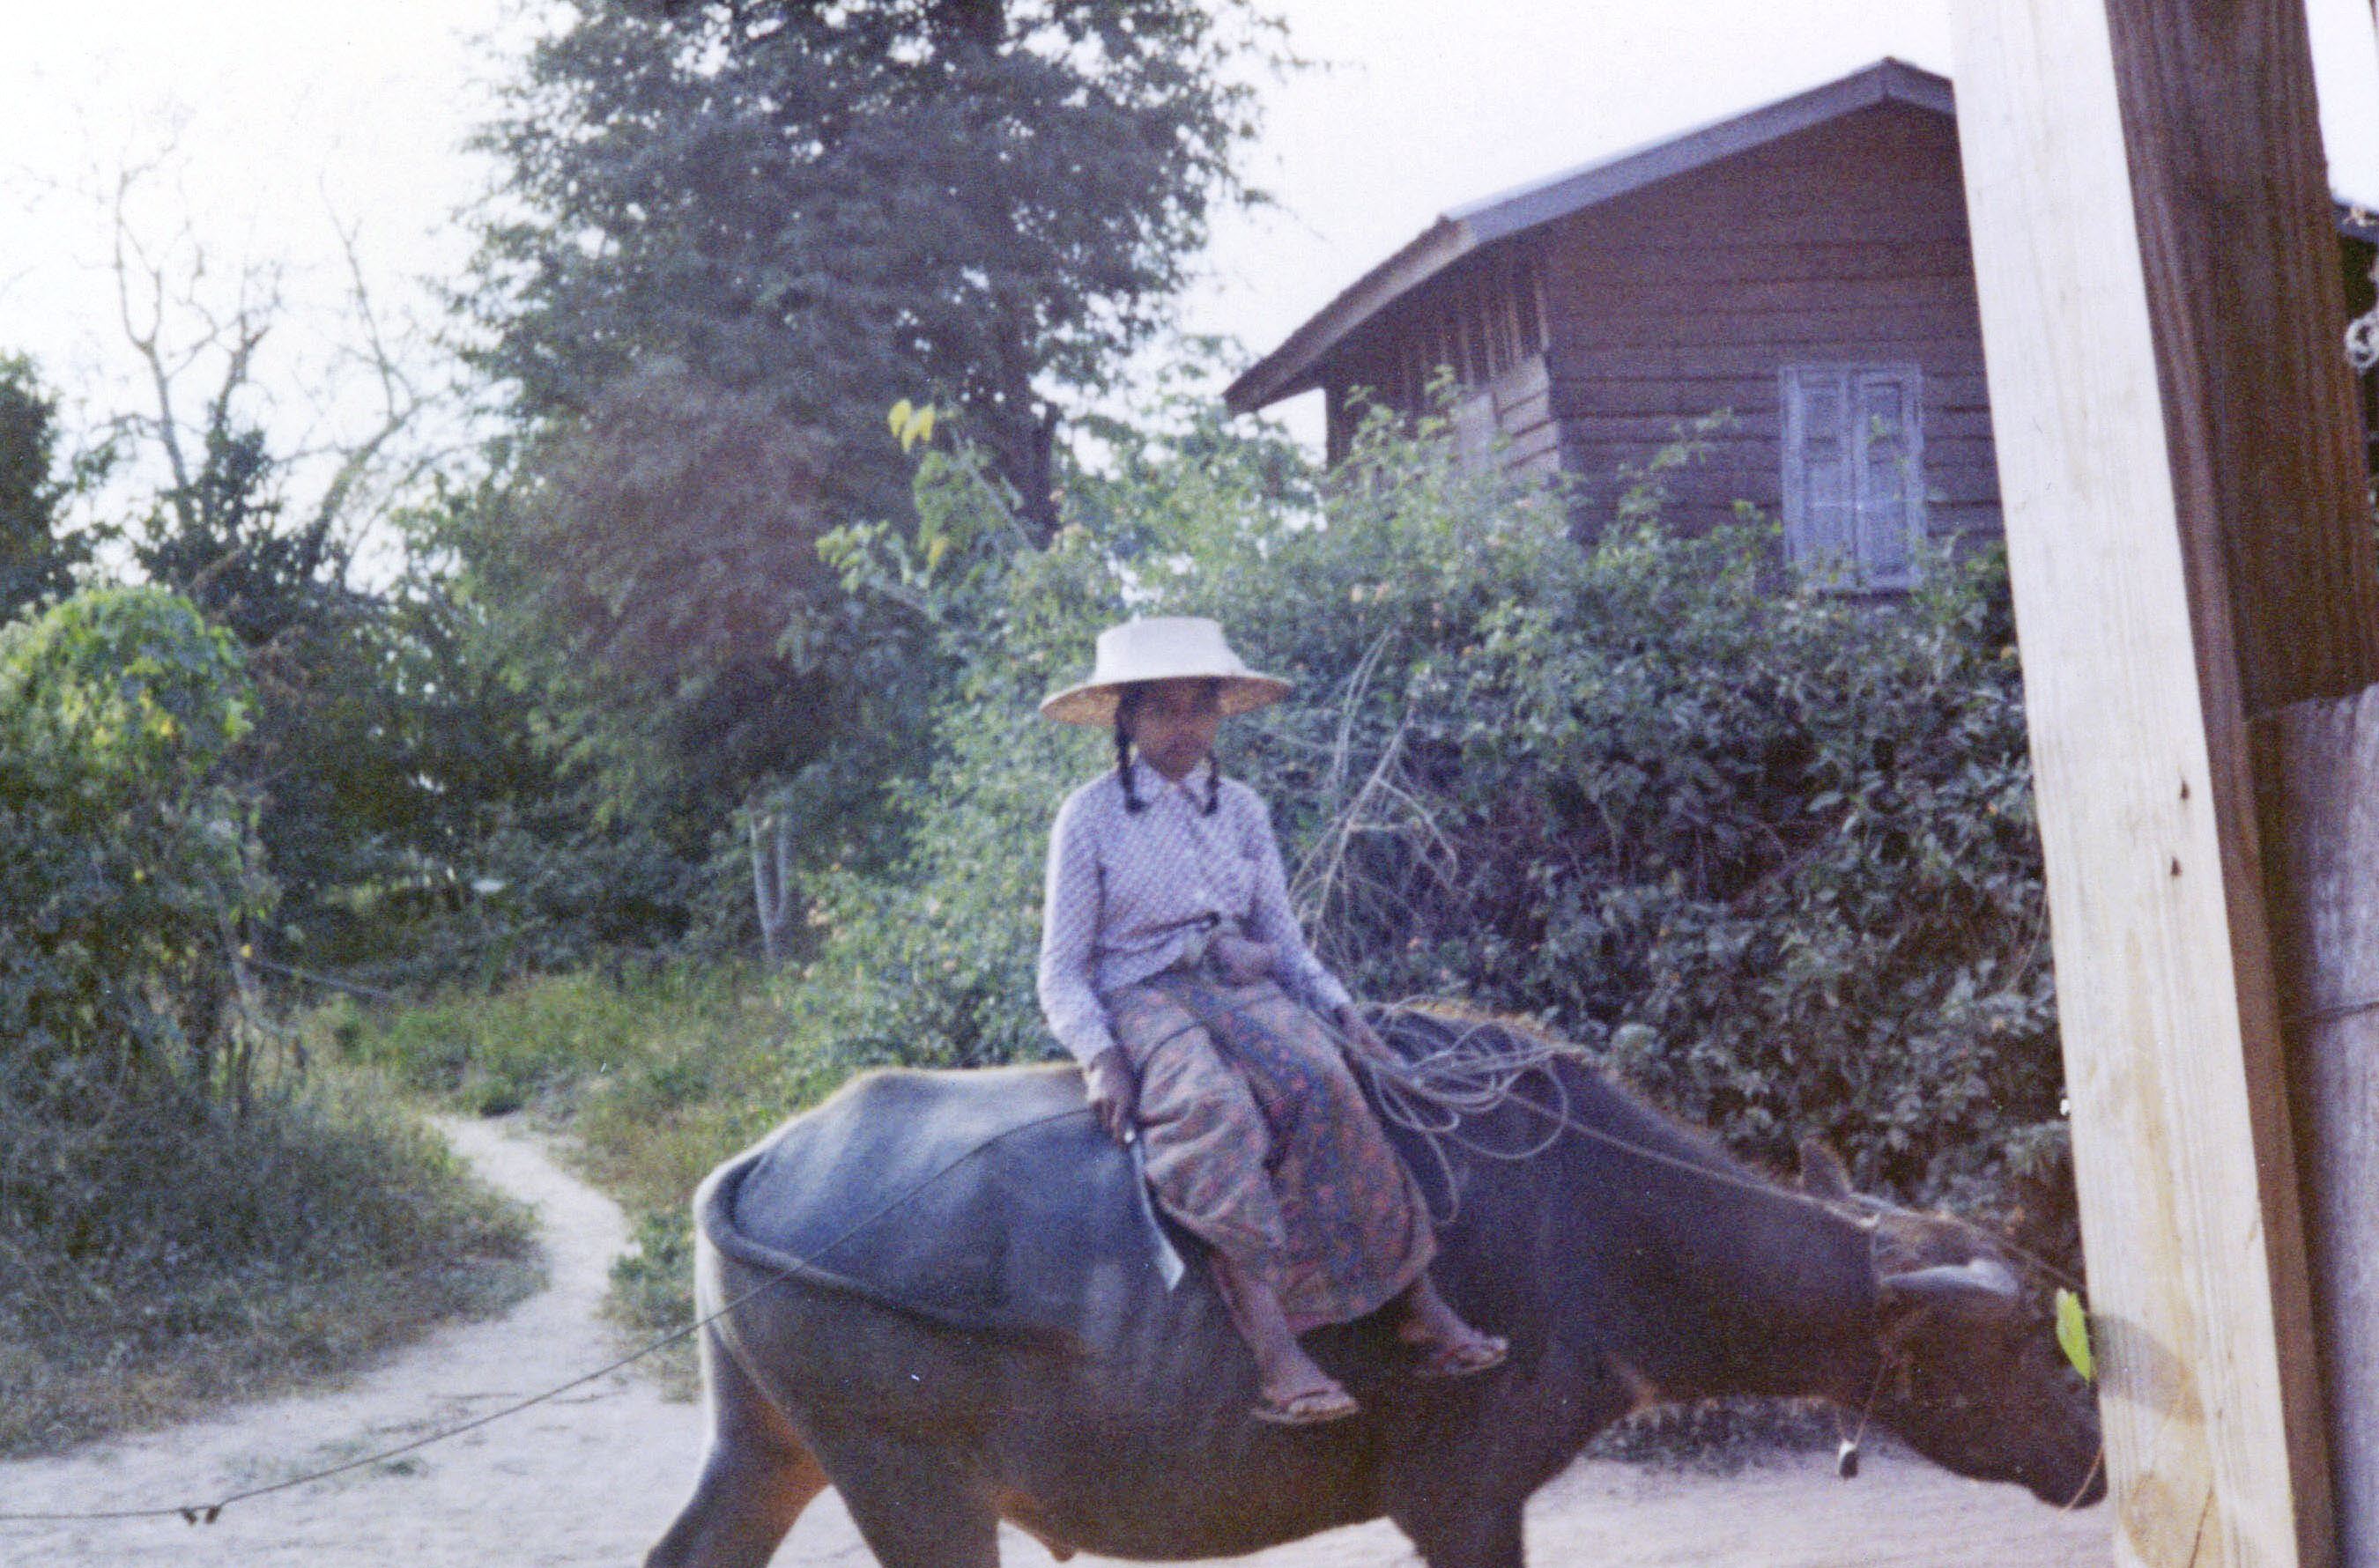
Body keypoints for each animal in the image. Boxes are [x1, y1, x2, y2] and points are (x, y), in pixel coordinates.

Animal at [647, 1013, 2102, 1560]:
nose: (2097, 1459)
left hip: (767, 1441)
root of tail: (771, 1157)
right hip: (913, 1485)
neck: (1603, 1229)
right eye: (2025, 1343)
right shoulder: (1462, 1499)